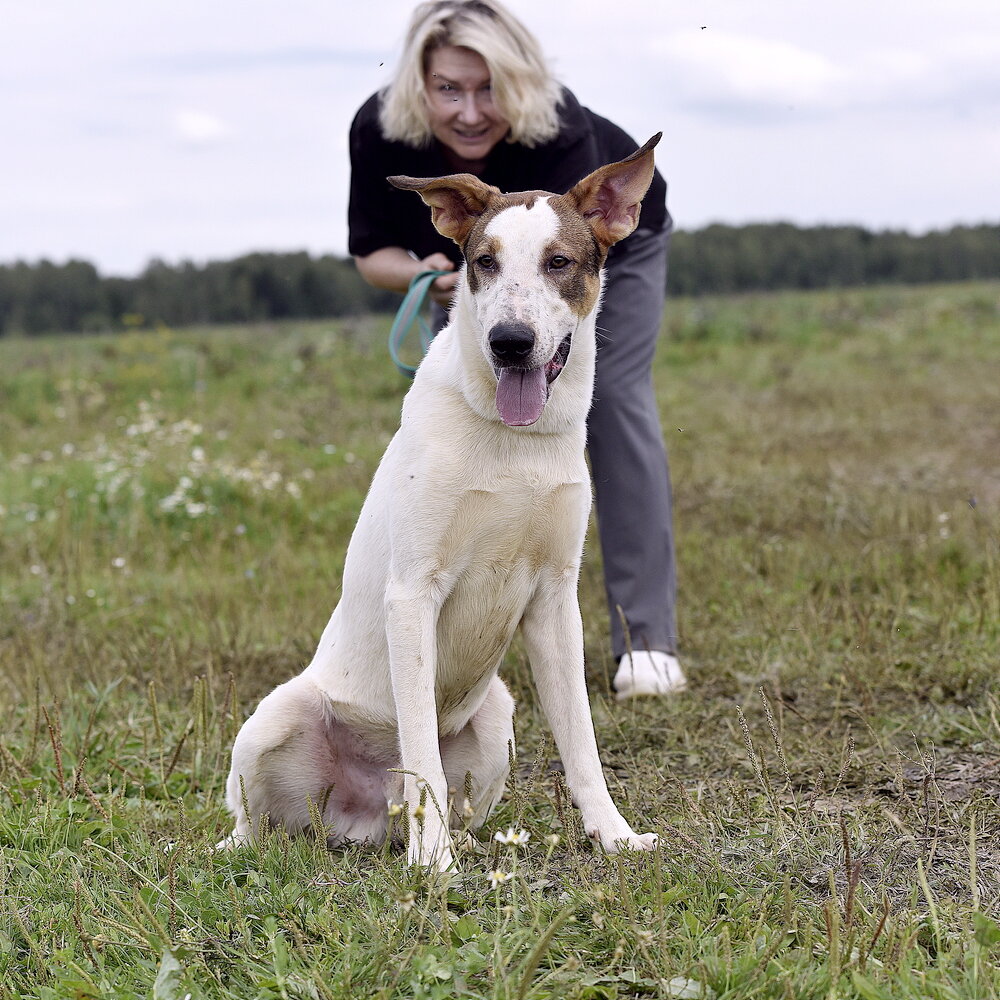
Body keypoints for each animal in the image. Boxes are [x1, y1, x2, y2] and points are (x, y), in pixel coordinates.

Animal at [223, 131, 668, 868]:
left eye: (559, 263)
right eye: (483, 263)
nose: (510, 343)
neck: (513, 440)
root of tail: (361, 817)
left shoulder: (555, 597)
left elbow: (581, 741)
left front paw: (615, 834)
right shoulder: (412, 593)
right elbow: (421, 754)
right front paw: (432, 862)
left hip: (497, 716)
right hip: (274, 718)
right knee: (258, 822)